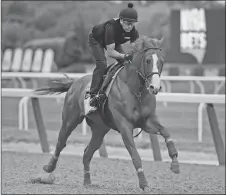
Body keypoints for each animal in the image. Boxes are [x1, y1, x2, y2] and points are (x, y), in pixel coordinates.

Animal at [35, 35, 180, 191]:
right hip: (70, 120)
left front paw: (175, 164)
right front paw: (144, 184)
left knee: (87, 153)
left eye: (161, 61)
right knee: (61, 143)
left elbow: (166, 132)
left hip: (100, 129)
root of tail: (75, 83)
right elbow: (135, 155)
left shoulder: (147, 121)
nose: (155, 87)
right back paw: (48, 168)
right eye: (148, 60)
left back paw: (87, 182)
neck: (135, 90)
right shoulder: (125, 126)